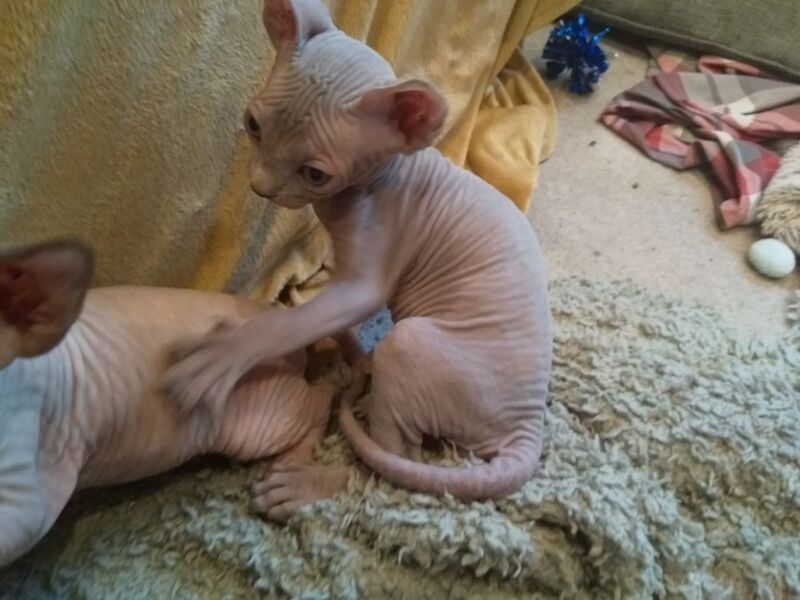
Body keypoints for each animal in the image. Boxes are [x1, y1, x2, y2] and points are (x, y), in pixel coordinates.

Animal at [159, 0, 552, 516]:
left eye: (316, 174)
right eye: (253, 125)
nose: (260, 187)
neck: (384, 176)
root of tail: (527, 426)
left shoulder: (367, 277)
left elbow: (287, 323)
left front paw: (223, 354)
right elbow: (315, 308)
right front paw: (337, 337)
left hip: (410, 346)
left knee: (390, 469)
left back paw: (307, 484)